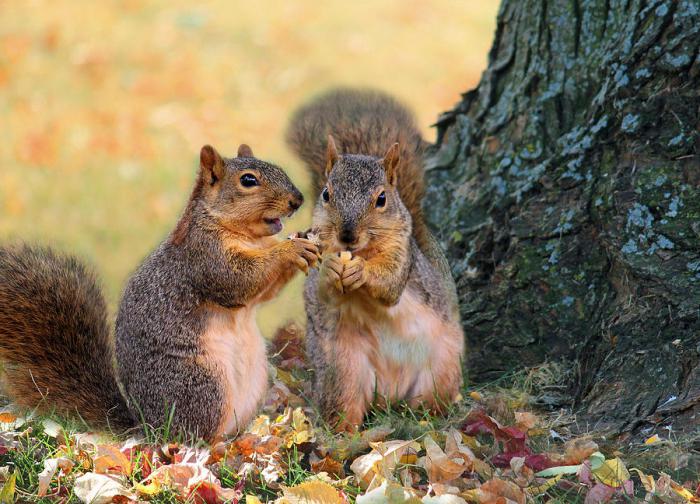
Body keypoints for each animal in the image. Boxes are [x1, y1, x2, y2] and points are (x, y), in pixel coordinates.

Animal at [0, 144, 318, 440]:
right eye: (248, 180)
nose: (298, 200)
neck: (249, 238)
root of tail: (148, 427)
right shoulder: (203, 257)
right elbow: (237, 280)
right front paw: (291, 249)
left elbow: (263, 292)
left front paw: (305, 242)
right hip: (201, 383)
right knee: (196, 436)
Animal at [288, 87, 468, 430]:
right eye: (327, 194)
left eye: (381, 199)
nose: (347, 235)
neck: (362, 251)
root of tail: (389, 391)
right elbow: (322, 291)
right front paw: (333, 269)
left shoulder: (403, 257)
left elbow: (390, 285)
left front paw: (361, 273)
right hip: (342, 368)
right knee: (345, 403)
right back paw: (344, 430)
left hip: (442, 367)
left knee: (430, 401)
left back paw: (425, 418)